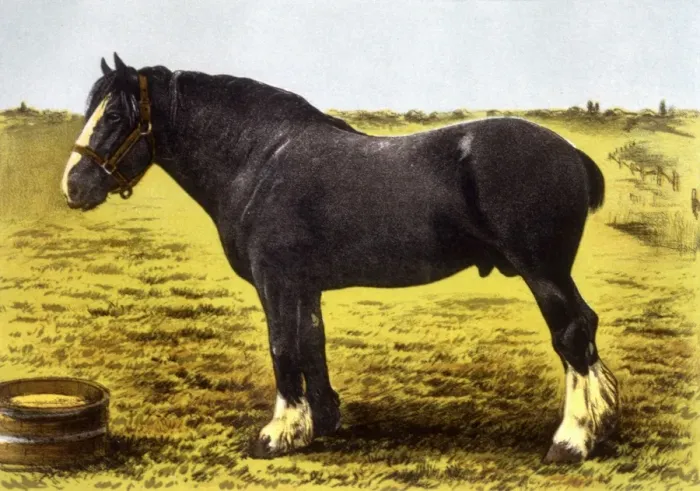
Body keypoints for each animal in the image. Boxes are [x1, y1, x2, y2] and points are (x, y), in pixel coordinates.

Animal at [61, 53, 619, 463]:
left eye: (115, 114)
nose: (73, 186)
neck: (260, 159)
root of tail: (570, 152)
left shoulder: (276, 281)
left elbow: (283, 348)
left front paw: (276, 434)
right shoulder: (305, 286)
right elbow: (312, 344)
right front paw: (321, 422)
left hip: (543, 272)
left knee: (572, 334)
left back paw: (571, 440)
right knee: (585, 330)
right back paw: (599, 424)